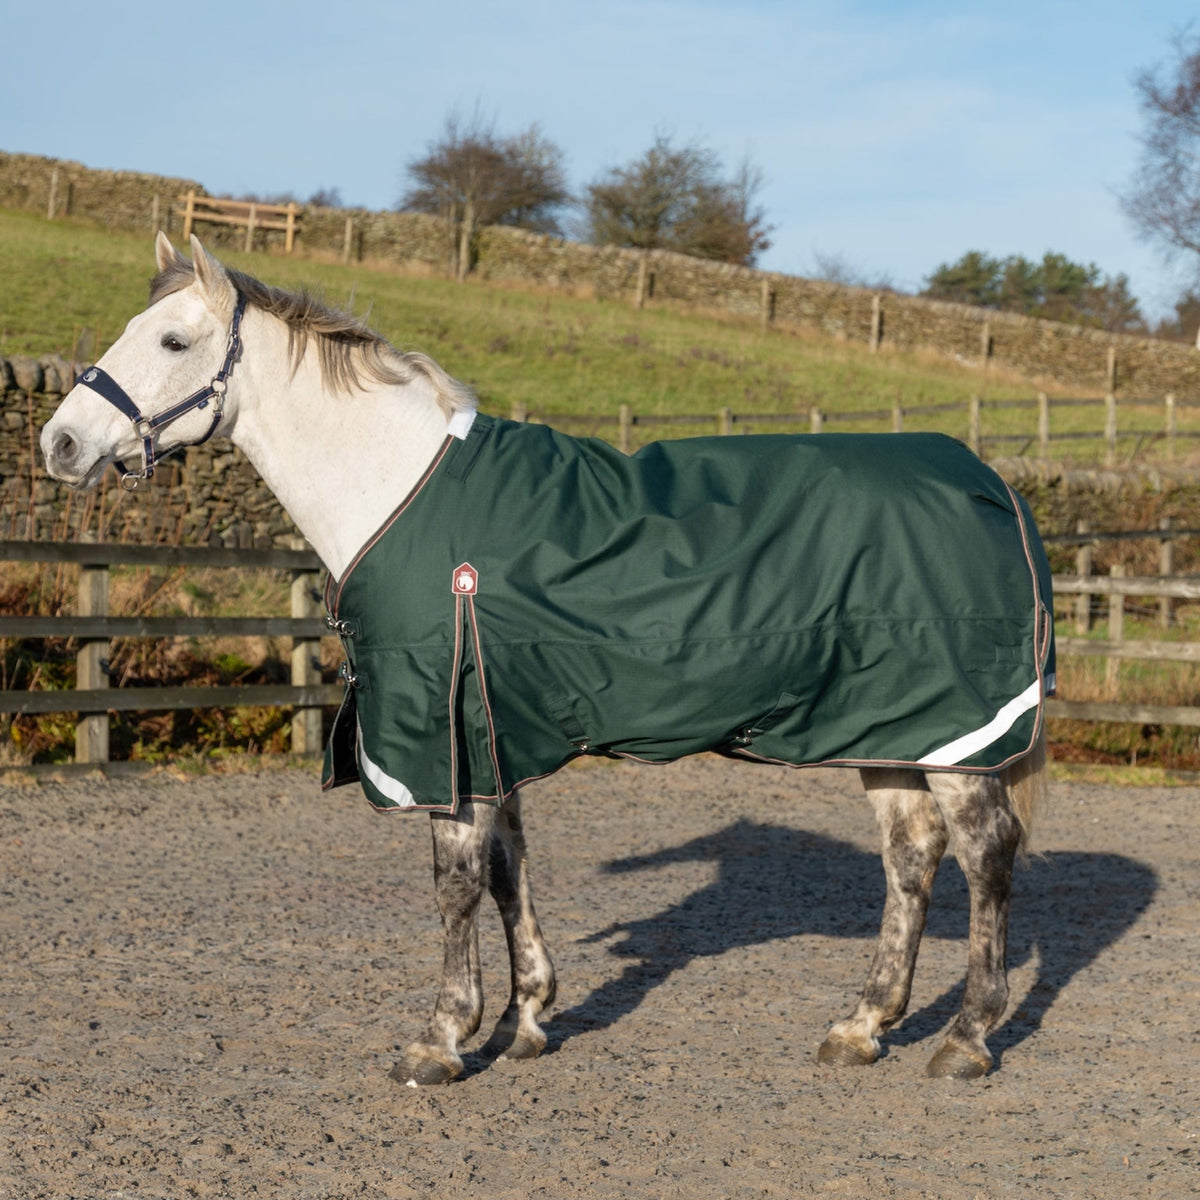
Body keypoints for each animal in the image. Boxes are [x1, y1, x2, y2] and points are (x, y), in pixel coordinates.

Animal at [40, 234, 1053, 1086]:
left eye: (171, 339)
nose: (59, 443)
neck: (401, 489)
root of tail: (991, 482)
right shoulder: (489, 726)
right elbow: (506, 869)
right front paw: (527, 1017)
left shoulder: (439, 728)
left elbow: (455, 884)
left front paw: (444, 1038)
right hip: (894, 728)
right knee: (911, 858)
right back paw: (864, 1024)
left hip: (957, 734)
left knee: (985, 856)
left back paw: (967, 1038)